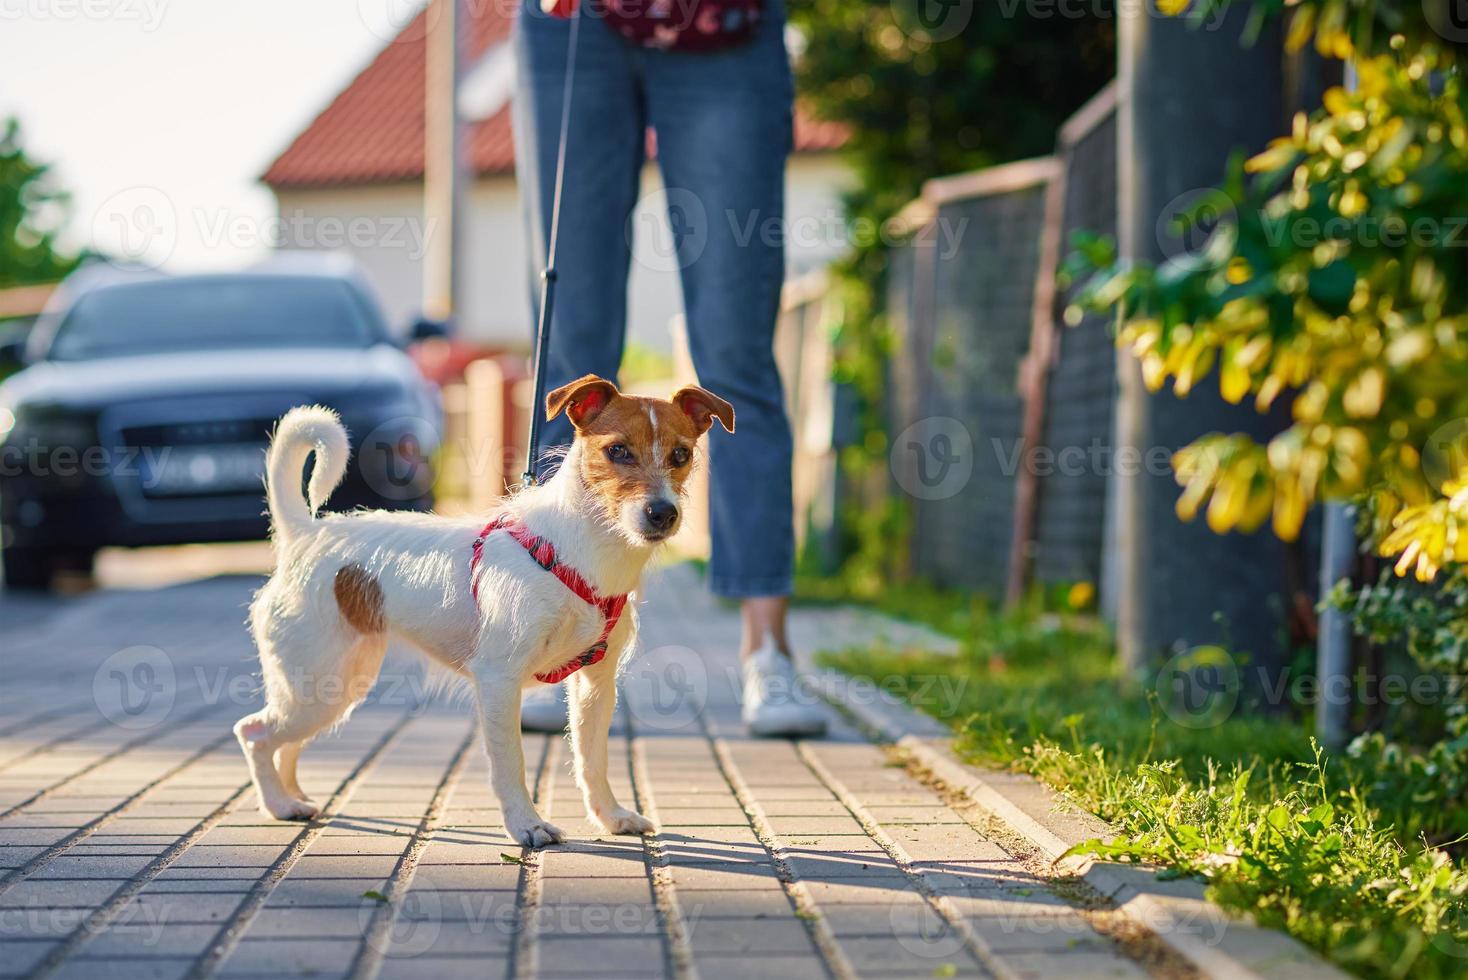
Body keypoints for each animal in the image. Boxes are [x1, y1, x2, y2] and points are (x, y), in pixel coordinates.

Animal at [234, 371, 734, 845]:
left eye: (681, 455)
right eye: (617, 451)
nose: (662, 513)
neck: (581, 551)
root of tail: (306, 534)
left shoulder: (596, 684)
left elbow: (593, 759)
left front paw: (610, 817)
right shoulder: (499, 679)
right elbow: (511, 762)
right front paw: (527, 825)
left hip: (333, 685)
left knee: (285, 743)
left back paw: (295, 797)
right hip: (318, 684)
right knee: (254, 733)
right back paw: (278, 803)